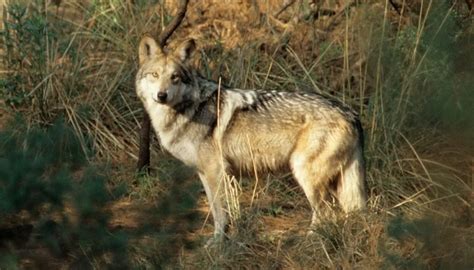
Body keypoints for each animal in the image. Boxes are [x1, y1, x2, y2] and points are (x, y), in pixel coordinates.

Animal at [135, 36, 368, 245]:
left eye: (175, 77)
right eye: (155, 75)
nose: (162, 95)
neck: (189, 108)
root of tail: (351, 114)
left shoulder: (216, 171)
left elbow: (221, 213)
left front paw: (219, 243)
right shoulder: (206, 173)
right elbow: (218, 210)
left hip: (305, 174)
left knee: (327, 213)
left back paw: (310, 241)